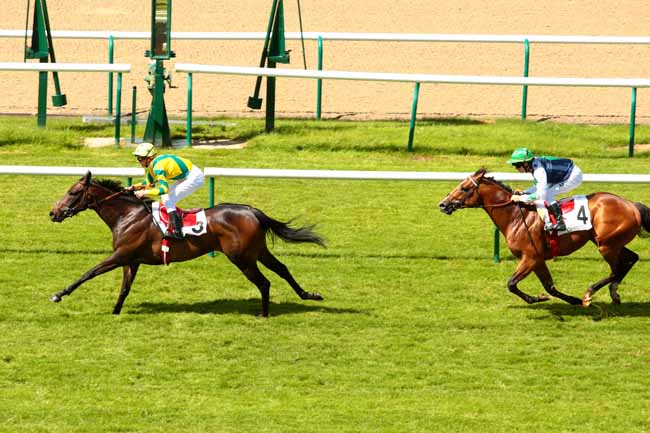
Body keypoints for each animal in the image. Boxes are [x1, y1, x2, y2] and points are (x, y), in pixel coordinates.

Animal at [48, 170, 326, 316]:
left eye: (73, 192)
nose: (53, 212)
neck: (127, 215)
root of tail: (252, 211)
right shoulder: (131, 260)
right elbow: (124, 288)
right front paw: (116, 312)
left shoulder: (120, 255)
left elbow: (89, 272)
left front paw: (59, 294)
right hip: (257, 251)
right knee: (282, 269)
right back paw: (309, 295)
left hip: (242, 257)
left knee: (264, 282)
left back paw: (264, 314)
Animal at [436, 167, 648, 306]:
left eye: (464, 188)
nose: (443, 204)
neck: (515, 216)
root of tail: (631, 205)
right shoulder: (538, 260)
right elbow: (549, 287)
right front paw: (570, 300)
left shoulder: (530, 257)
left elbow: (511, 284)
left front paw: (537, 299)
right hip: (611, 242)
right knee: (631, 259)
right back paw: (614, 293)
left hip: (606, 245)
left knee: (617, 268)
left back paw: (590, 292)